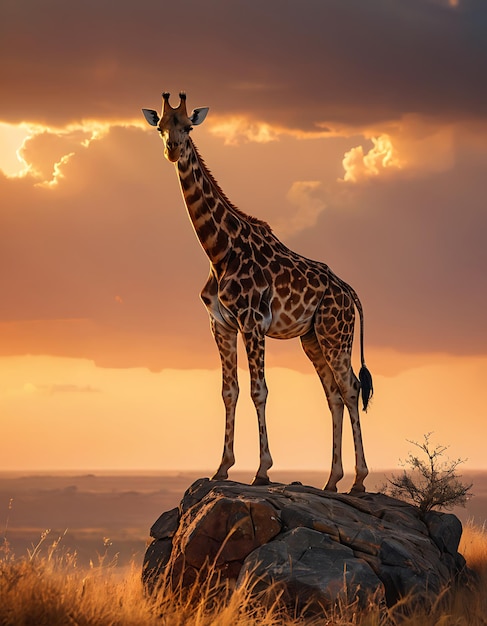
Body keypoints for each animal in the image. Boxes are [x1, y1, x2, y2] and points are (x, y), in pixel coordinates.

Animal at [143, 92, 376, 492]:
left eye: (188, 127)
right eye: (160, 127)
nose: (172, 150)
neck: (218, 250)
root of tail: (350, 292)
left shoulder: (252, 321)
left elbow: (258, 390)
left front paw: (262, 471)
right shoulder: (221, 324)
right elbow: (229, 390)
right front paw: (222, 468)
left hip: (336, 334)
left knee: (350, 388)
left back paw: (359, 481)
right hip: (313, 338)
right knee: (332, 394)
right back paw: (332, 480)